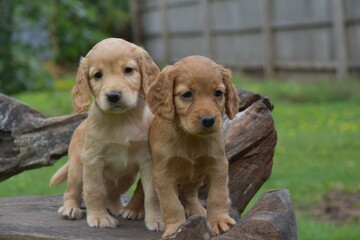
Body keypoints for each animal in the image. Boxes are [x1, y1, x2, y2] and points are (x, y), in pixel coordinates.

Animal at [49, 37, 163, 231]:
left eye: (128, 70)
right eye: (97, 75)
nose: (113, 95)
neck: (122, 119)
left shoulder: (148, 160)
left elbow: (152, 193)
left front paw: (156, 220)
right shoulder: (93, 159)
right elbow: (95, 191)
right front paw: (99, 217)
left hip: (126, 178)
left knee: (112, 194)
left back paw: (118, 207)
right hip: (77, 168)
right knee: (72, 191)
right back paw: (70, 208)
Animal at [145, 55, 240, 237]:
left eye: (218, 93)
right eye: (187, 94)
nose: (208, 120)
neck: (190, 137)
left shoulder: (218, 165)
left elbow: (217, 196)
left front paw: (219, 220)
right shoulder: (163, 173)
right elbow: (171, 204)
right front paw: (175, 228)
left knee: (188, 194)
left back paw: (198, 211)